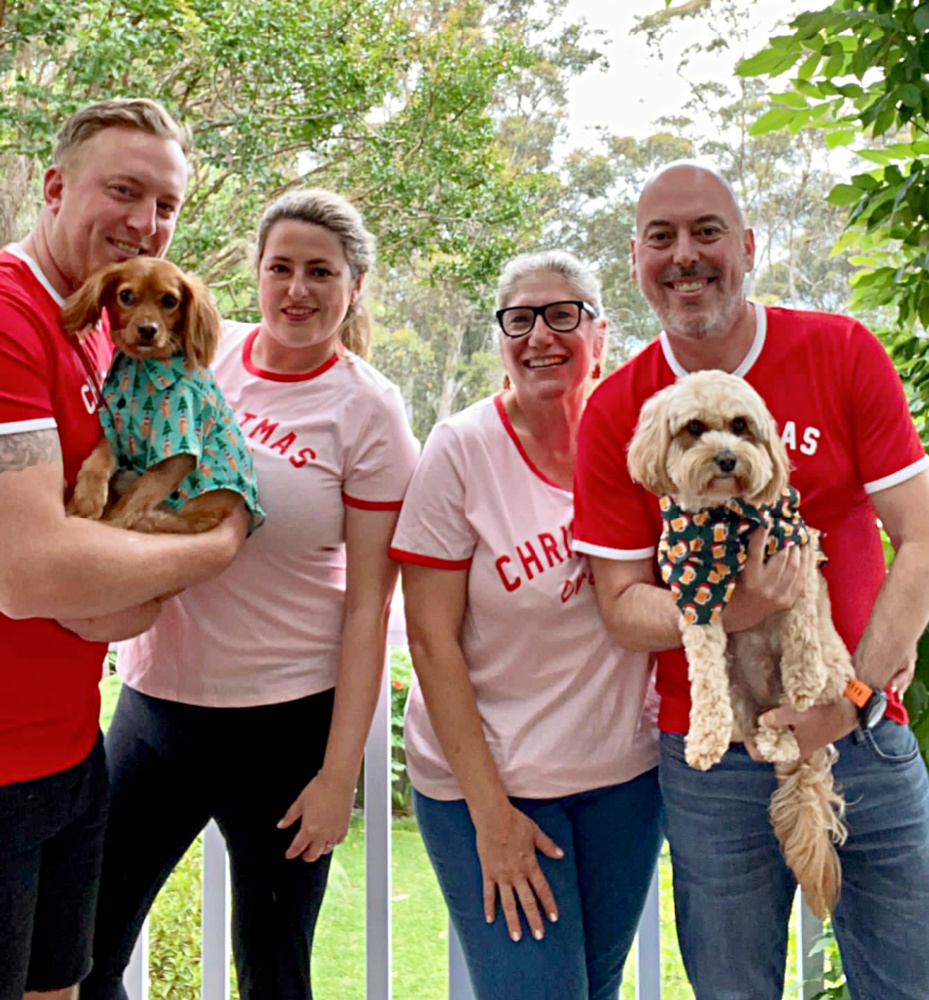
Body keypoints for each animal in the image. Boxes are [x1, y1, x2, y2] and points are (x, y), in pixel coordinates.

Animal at [628, 372, 852, 916]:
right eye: (694, 428)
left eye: (740, 425)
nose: (727, 458)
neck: (725, 519)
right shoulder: (694, 599)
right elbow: (703, 676)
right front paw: (703, 740)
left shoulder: (796, 550)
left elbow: (800, 626)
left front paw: (803, 676)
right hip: (742, 695)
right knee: (763, 730)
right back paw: (765, 736)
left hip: (836, 674)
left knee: (801, 719)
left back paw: (794, 711)